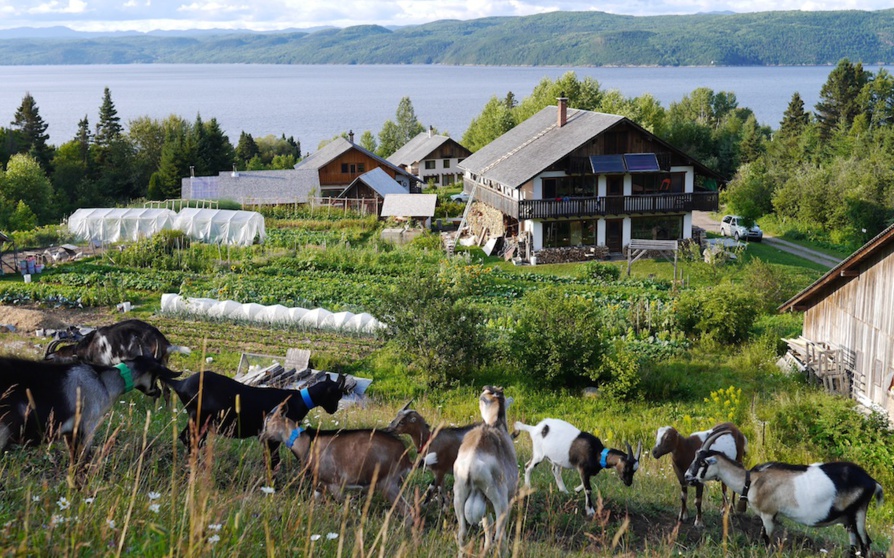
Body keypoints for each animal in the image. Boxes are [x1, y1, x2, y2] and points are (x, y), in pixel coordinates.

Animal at [164, 372, 346, 468]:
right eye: (338, 394)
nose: (334, 409)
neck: (299, 400)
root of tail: (181, 383)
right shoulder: (272, 436)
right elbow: (273, 459)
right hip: (199, 418)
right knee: (189, 439)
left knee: (189, 439)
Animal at [260, 410, 412, 520]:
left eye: (267, 423)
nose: (261, 436)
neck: (306, 443)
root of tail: (405, 456)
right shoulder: (319, 485)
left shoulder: (334, 484)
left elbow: (346, 505)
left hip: (388, 483)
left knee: (408, 510)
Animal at [456, 388, 520, 556]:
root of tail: (472, 463)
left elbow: (487, 525)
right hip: (499, 501)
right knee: (499, 536)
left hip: (458, 497)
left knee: (462, 533)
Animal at [688, 430, 884, 556]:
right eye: (694, 458)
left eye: (703, 462)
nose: (687, 477)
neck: (752, 481)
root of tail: (872, 482)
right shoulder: (771, 516)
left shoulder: (768, 514)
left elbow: (767, 539)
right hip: (848, 520)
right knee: (854, 546)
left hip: (858, 513)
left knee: (866, 544)